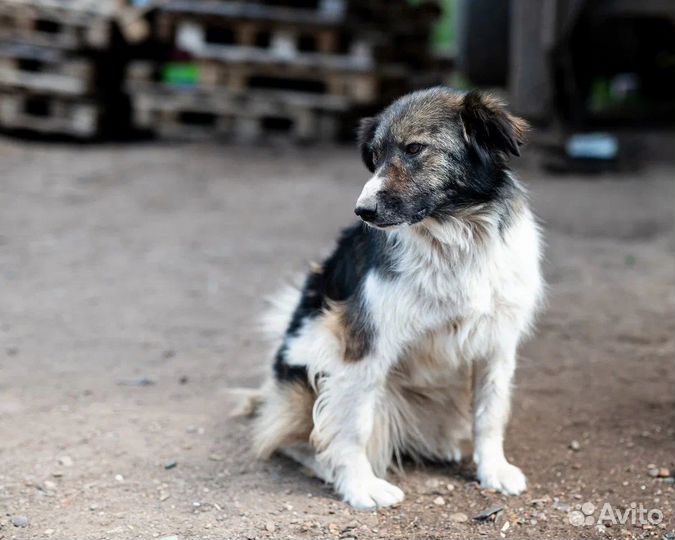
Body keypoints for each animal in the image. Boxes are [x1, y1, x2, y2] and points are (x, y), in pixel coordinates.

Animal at [248, 86, 544, 508]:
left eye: (415, 148)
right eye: (374, 158)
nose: (363, 210)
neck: (455, 237)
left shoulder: (497, 342)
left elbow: (490, 412)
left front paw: (493, 470)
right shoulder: (363, 343)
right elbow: (352, 425)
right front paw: (359, 486)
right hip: (310, 361)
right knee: (294, 437)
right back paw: (327, 466)